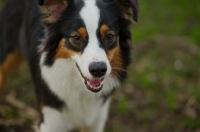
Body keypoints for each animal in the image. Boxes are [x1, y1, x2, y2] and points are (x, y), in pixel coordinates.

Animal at [0, 0, 138, 131]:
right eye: (76, 37)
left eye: (109, 36)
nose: (98, 70)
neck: (79, 90)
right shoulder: (50, 121)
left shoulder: (96, 120)